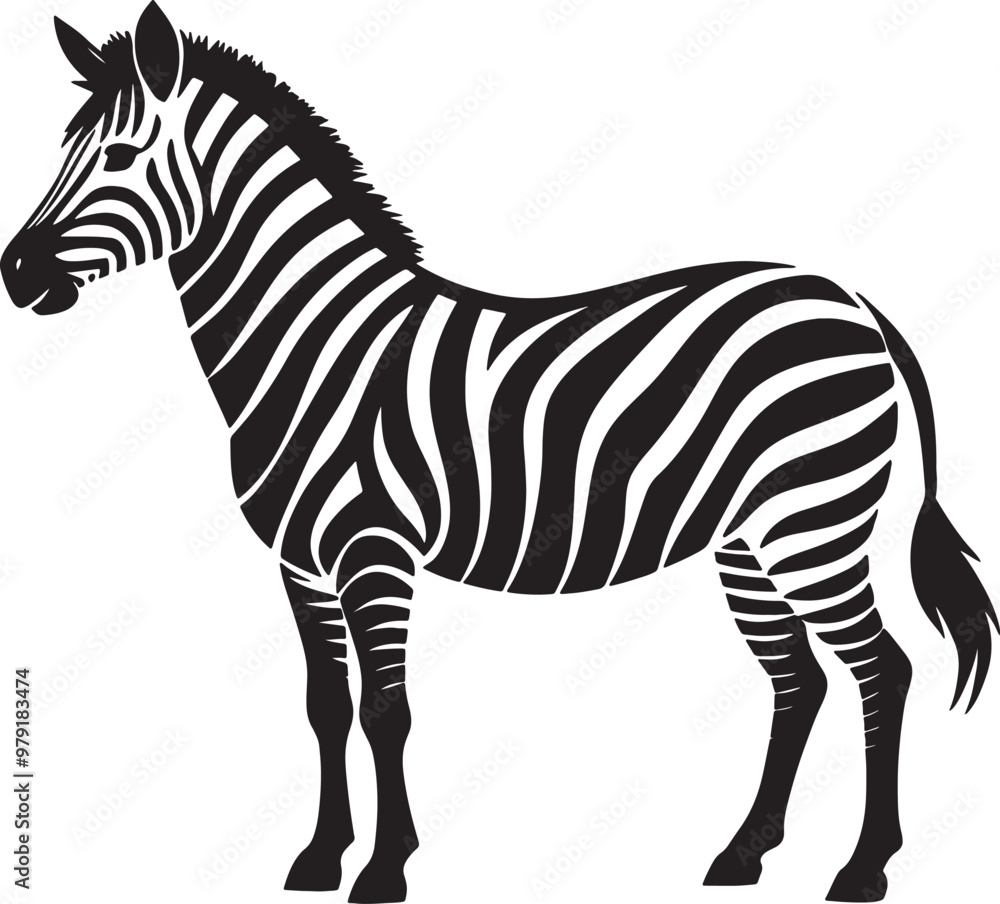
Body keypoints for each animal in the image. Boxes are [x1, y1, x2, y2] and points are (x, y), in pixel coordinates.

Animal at [2, 4, 995, 902]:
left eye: (119, 158)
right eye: (62, 149)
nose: (15, 274)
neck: (316, 342)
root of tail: (852, 299)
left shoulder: (374, 552)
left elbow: (386, 710)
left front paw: (385, 872)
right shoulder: (301, 563)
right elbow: (326, 708)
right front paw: (320, 860)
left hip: (813, 522)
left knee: (883, 671)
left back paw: (863, 870)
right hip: (749, 542)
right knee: (799, 682)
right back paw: (743, 855)